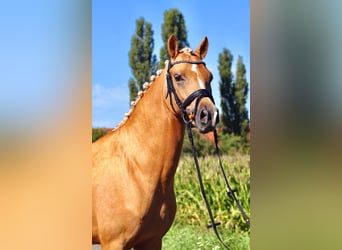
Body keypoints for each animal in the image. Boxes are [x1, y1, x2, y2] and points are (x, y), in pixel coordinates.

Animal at [92, 34, 218, 249]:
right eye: (178, 77)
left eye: (209, 77)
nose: (208, 115)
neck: (135, 169)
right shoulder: (114, 243)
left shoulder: (152, 240)